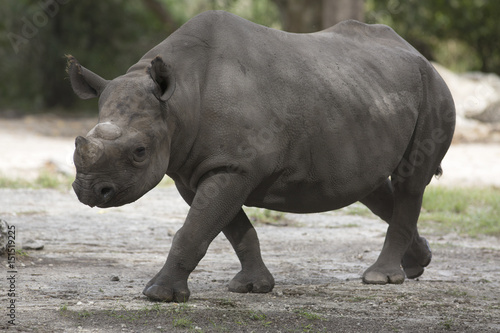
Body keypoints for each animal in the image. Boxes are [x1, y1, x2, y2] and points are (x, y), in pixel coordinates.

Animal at [67, 10, 458, 300]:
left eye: (139, 152)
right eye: (78, 143)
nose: (87, 191)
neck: (179, 100)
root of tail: (419, 54)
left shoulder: (233, 166)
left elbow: (195, 229)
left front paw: (158, 295)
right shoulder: (196, 170)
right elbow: (232, 228)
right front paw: (253, 287)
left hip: (433, 90)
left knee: (410, 181)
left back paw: (381, 278)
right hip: (366, 93)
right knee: (374, 187)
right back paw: (416, 265)